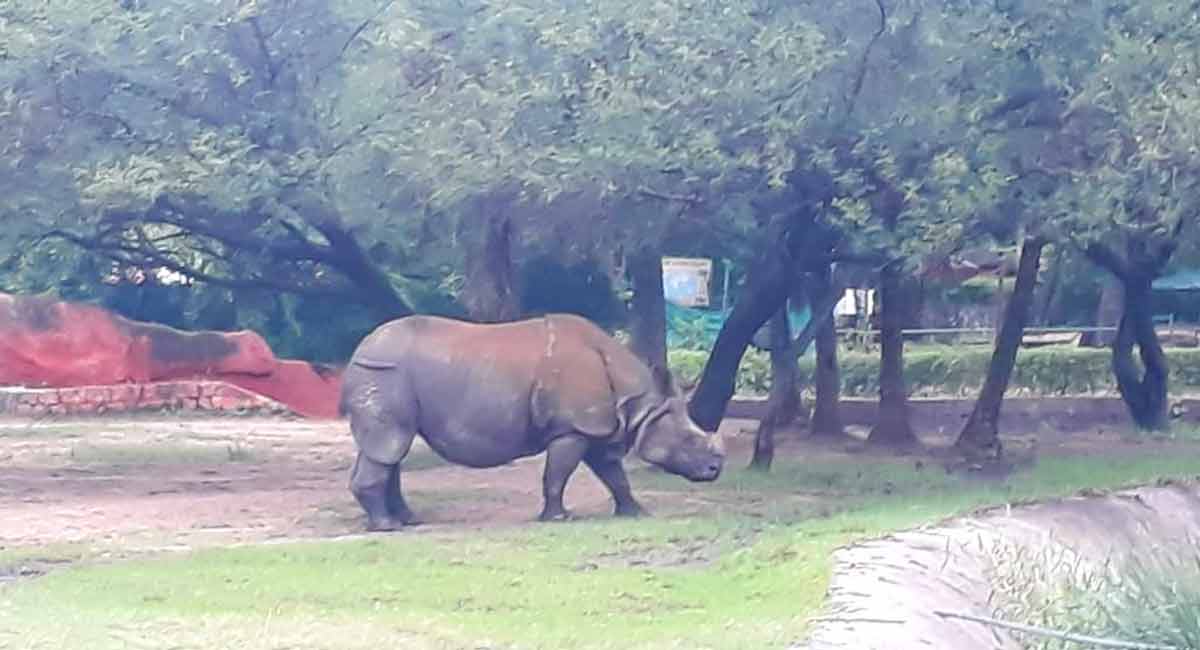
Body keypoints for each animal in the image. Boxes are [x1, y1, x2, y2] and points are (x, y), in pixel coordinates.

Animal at [338, 313, 725, 531]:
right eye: (690, 440)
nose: (715, 470)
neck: (640, 404)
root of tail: (358, 351)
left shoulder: (596, 426)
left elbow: (615, 475)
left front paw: (637, 513)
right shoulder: (574, 427)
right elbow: (557, 475)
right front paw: (558, 519)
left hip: (382, 372)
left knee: (387, 449)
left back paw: (407, 521)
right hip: (386, 372)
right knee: (390, 445)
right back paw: (388, 527)